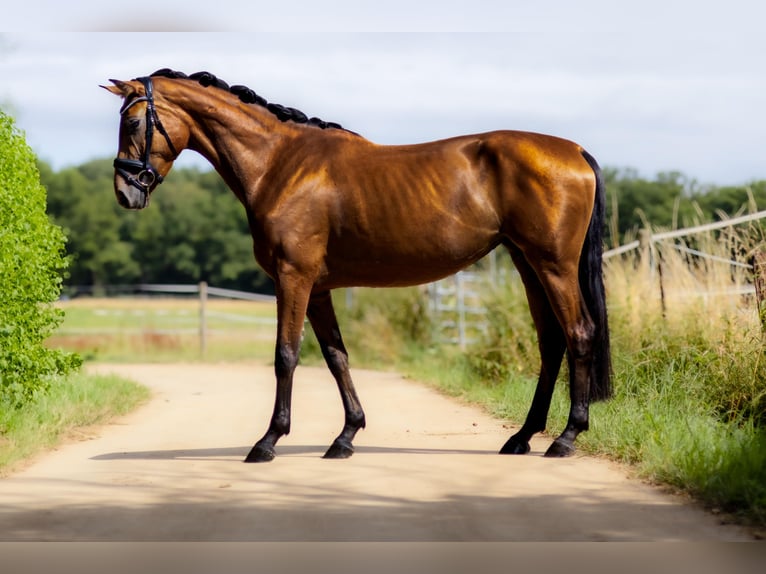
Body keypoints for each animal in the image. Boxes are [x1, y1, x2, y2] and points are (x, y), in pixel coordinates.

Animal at [105, 68, 616, 464]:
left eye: (133, 120)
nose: (126, 192)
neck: (279, 164)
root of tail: (574, 151)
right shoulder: (318, 287)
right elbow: (336, 357)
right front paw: (346, 437)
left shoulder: (293, 278)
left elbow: (286, 355)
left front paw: (268, 442)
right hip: (527, 264)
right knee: (551, 344)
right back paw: (523, 437)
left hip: (553, 265)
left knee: (579, 334)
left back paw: (566, 438)